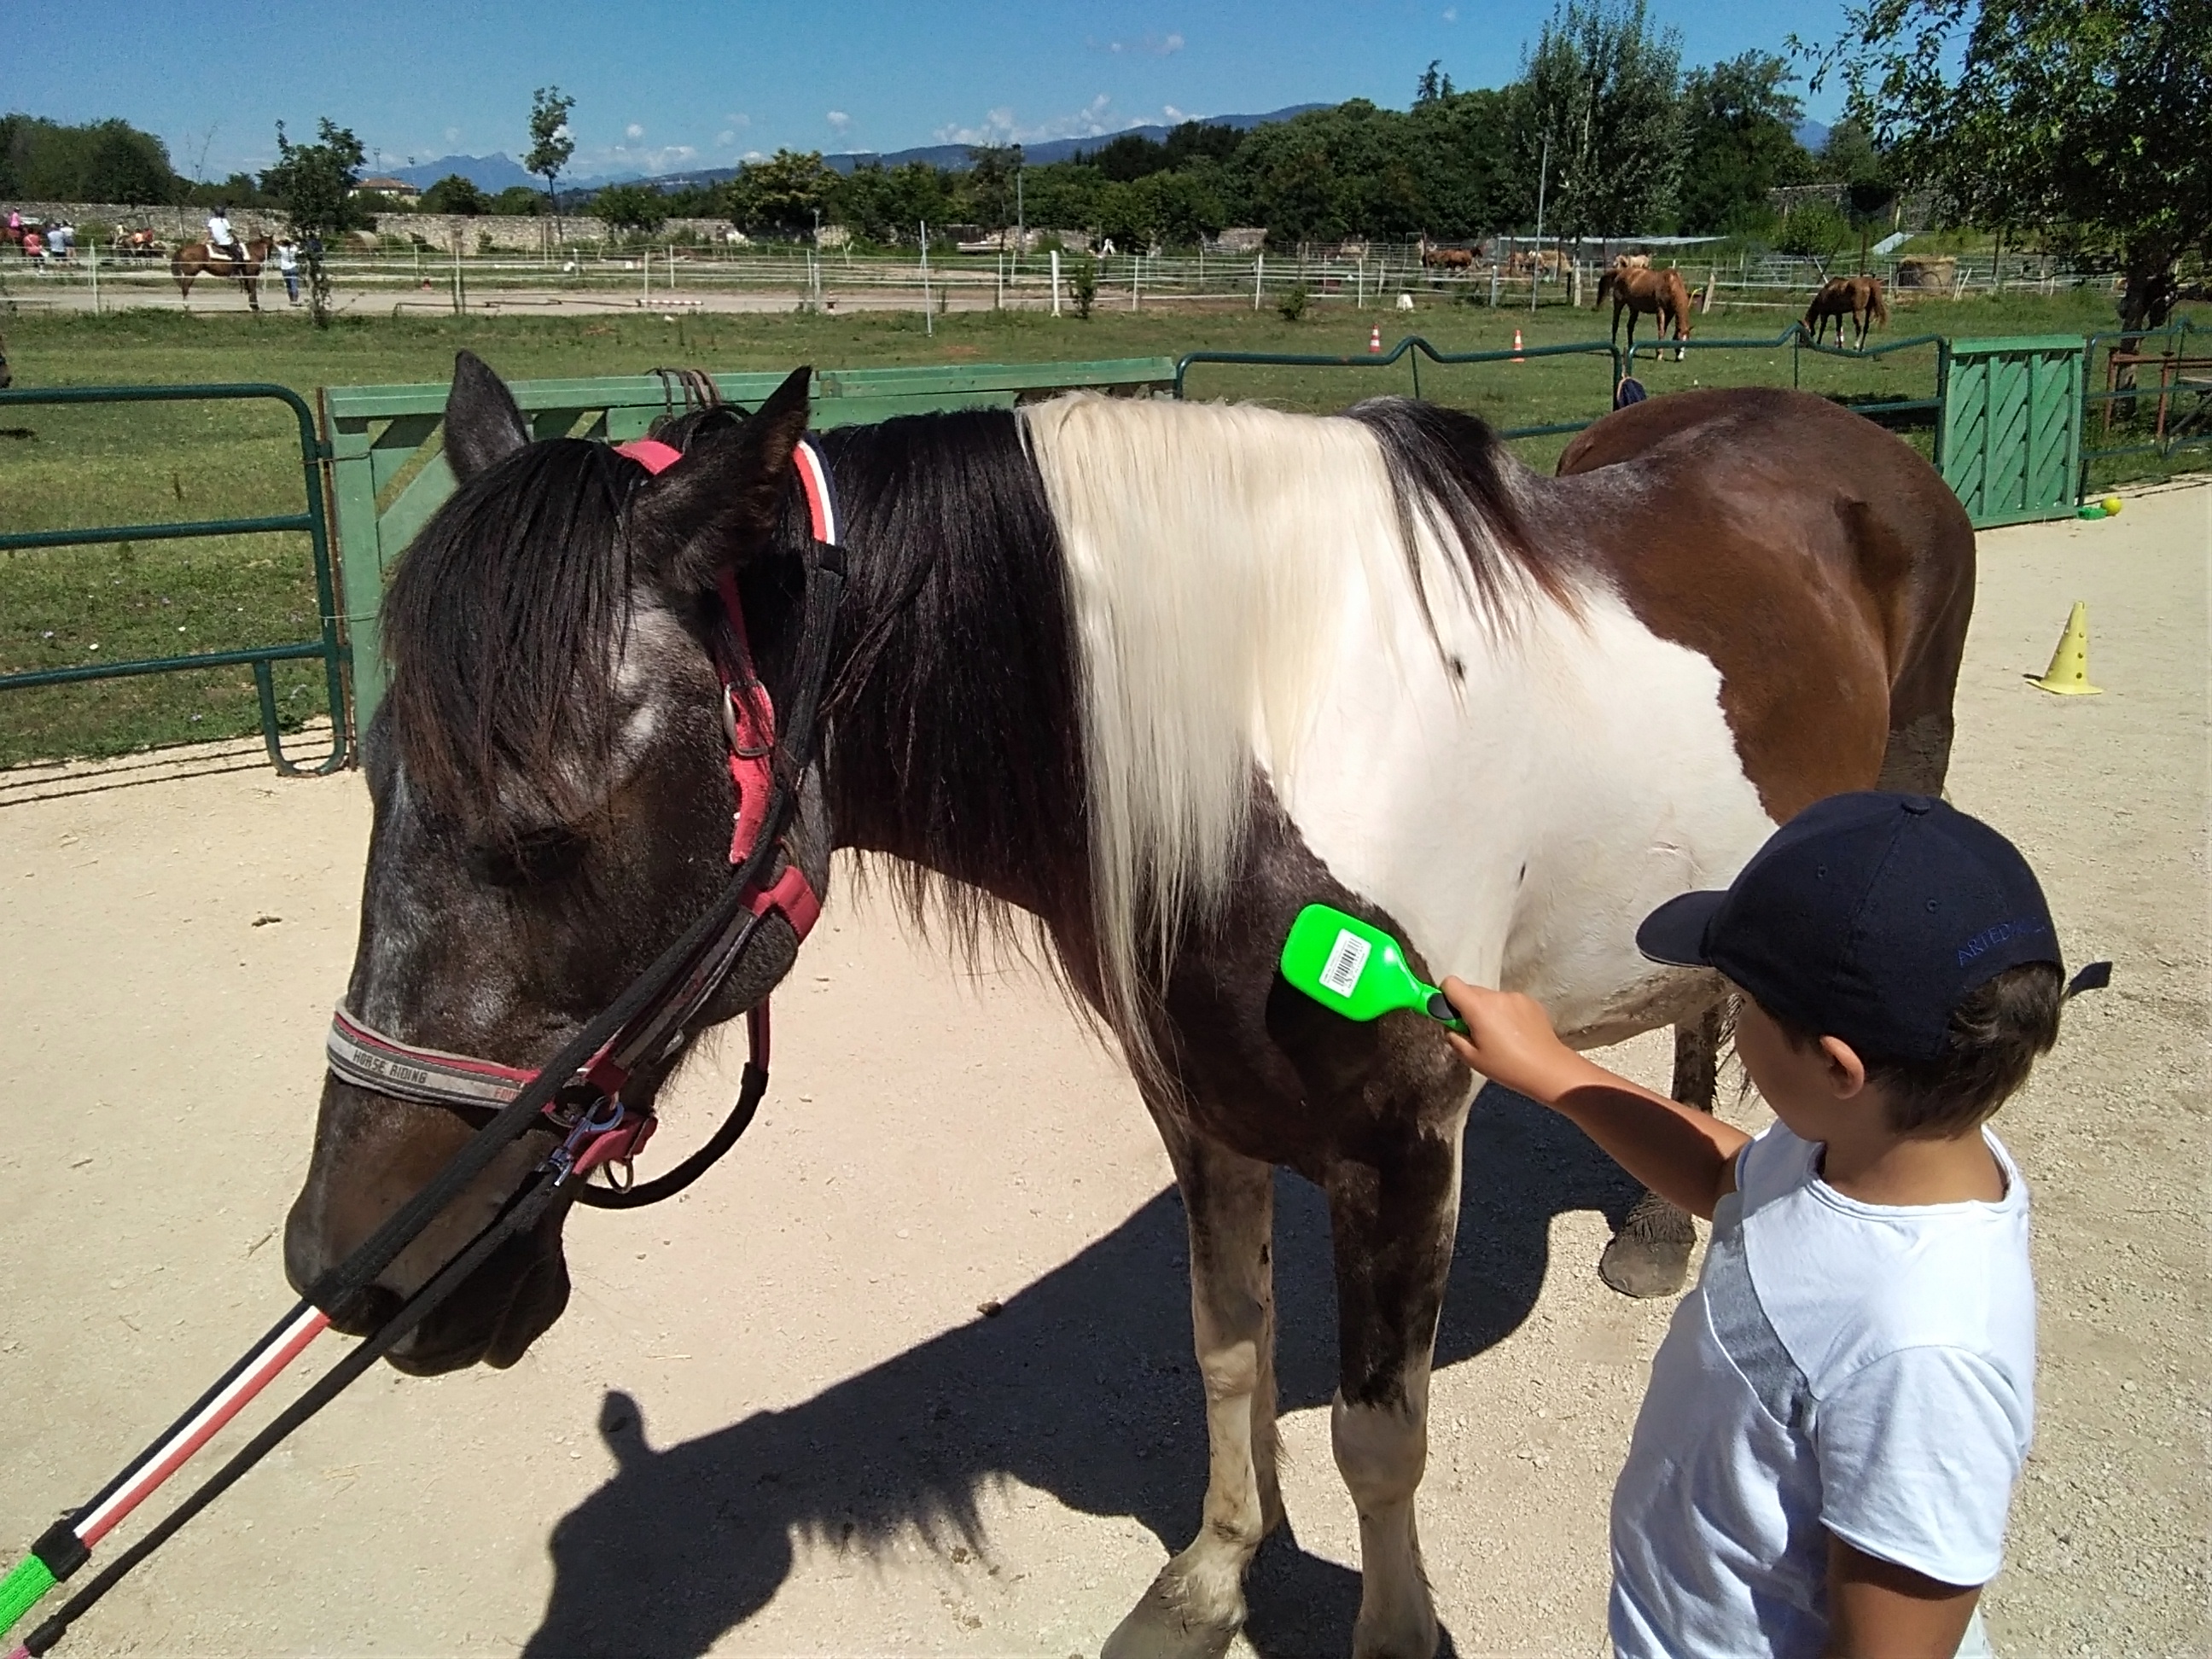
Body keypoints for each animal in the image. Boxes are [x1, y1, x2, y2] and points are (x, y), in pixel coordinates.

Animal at [285, 352, 1974, 1658]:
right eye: (375, 779)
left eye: (550, 828)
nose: (348, 1266)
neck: (1267, 730)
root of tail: (1864, 442)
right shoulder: (1205, 1113)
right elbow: (1227, 1354)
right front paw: (1209, 1584)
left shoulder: (1402, 1143)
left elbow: (1378, 1431)